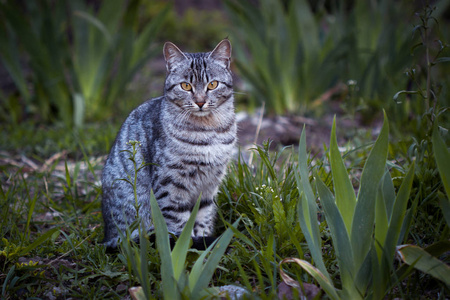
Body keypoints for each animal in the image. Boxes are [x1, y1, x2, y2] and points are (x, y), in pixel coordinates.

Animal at [101, 40, 236, 251]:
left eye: (212, 84)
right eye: (185, 86)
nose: (200, 102)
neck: (208, 130)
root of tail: (109, 237)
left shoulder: (210, 184)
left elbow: (203, 216)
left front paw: (202, 241)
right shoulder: (171, 184)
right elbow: (177, 225)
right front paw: (184, 247)